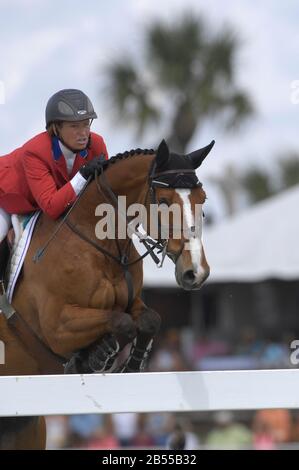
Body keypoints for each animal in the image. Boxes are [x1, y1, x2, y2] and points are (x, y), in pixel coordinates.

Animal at [0, 139, 216, 448]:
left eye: (203, 199)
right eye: (163, 201)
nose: (195, 272)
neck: (98, 242)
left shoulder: (133, 302)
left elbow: (148, 320)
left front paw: (129, 365)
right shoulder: (57, 326)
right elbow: (120, 322)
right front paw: (95, 356)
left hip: (25, 427)